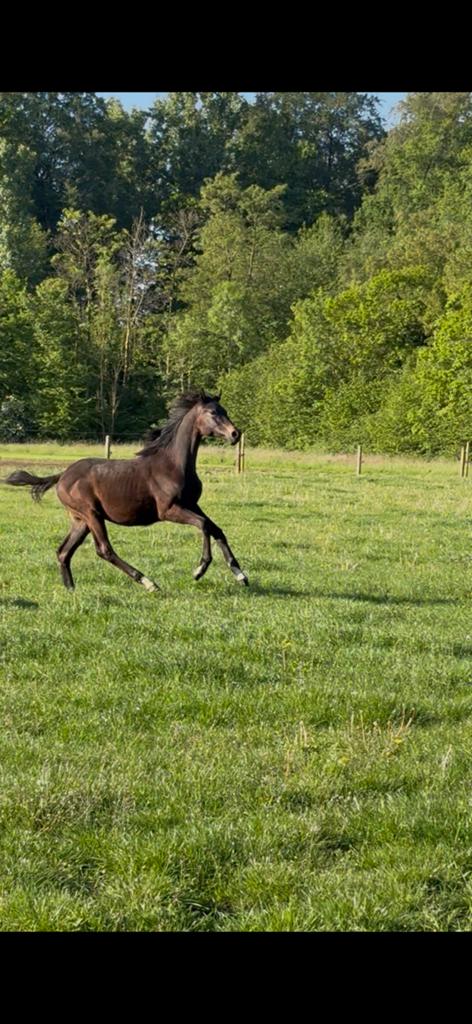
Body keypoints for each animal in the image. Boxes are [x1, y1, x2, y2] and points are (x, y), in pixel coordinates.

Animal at [5, 390, 249, 592]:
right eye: (212, 413)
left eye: (225, 411)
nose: (235, 434)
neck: (174, 465)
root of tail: (62, 475)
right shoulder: (169, 510)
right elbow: (204, 525)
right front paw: (199, 570)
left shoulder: (191, 504)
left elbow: (217, 529)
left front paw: (240, 575)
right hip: (91, 514)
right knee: (104, 549)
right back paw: (148, 583)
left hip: (80, 520)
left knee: (64, 551)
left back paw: (71, 589)